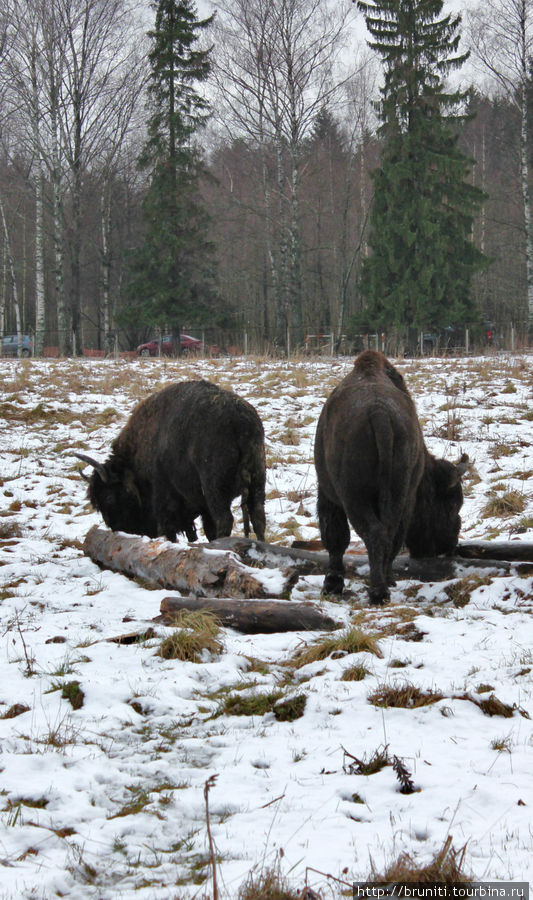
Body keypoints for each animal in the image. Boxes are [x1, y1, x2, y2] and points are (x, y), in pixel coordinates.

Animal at [74, 378, 264, 540]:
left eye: (108, 497)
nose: (119, 531)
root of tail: (241, 421)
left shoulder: (165, 502)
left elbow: (168, 529)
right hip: (257, 480)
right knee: (258, 518)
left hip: (214, 490)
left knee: (225, 520)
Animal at [314, 352, 468, 604]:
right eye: (452, 504)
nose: (449, 545)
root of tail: (379, 414)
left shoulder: (328, 495)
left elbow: (336, 538)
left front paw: (332, 585)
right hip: (399, 494)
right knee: (390, 533)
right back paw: (385, 584)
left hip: (354, 498)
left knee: (374, 533)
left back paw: (377, 591)